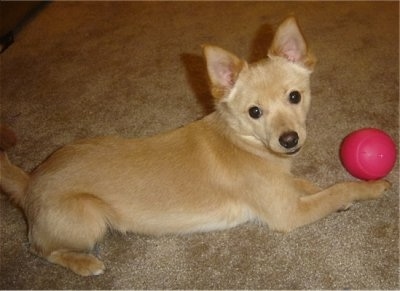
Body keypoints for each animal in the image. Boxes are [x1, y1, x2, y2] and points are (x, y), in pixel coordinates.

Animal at [0, 17, 390, 278]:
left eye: (295, 96)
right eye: (255, 112)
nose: (289, 140)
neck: (241, 140)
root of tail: (31, 182)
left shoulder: (284, 186)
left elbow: (311, 185)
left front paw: (332, 191)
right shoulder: (287, 214)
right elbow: (337, 190)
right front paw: (369, 187)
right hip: (89, 218)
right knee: (40, 248)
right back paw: (83, 262)